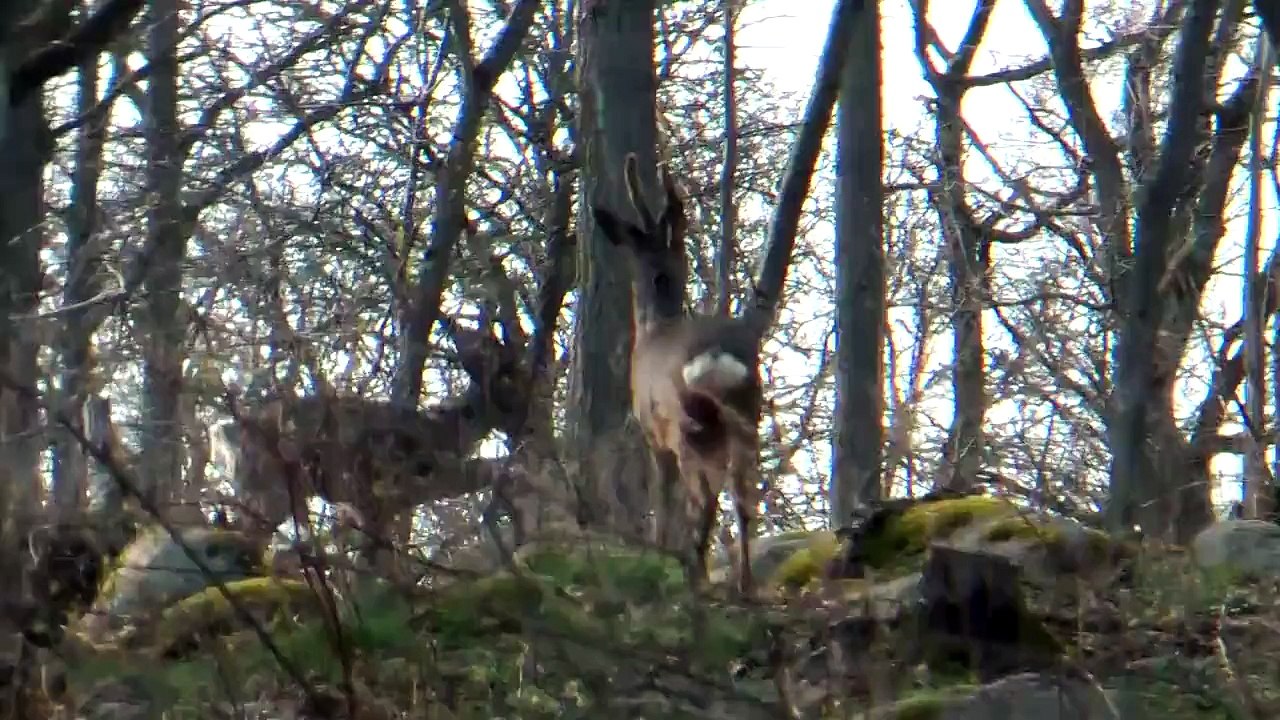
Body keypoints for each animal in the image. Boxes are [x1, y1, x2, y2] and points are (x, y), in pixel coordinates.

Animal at [211, 325, 531, 574]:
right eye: (505, 379)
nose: (519, 414)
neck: (442, 430)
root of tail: (222, 434)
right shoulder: (384, 474)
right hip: (267, 485)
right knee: (246, 534)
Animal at [591, 152, 765, 599]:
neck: (656, 326)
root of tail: (717, 356)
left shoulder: (653, 433)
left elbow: (662, 497)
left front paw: (658, 553)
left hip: (688, 426)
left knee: (703, 500)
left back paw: (697, 575)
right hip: (746, 418)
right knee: (743, 499)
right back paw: (744, 585)